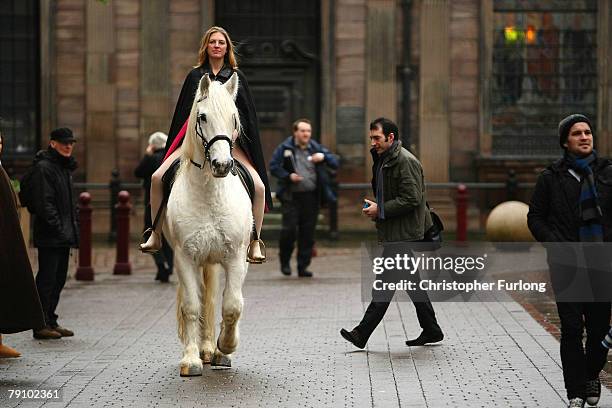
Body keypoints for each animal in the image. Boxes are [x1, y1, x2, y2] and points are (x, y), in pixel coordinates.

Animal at [164, 73, 252, 376]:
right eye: (202, 116)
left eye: (234, 117)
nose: (222, 165)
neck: (210, 195)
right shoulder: (185, 257)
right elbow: (191, 307)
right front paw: (191, 360)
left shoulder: (236, 256)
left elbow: (232, 305)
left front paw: (225, 347)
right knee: (203, 302)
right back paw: (202, 350)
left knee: (214, 300)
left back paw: (212, 349)